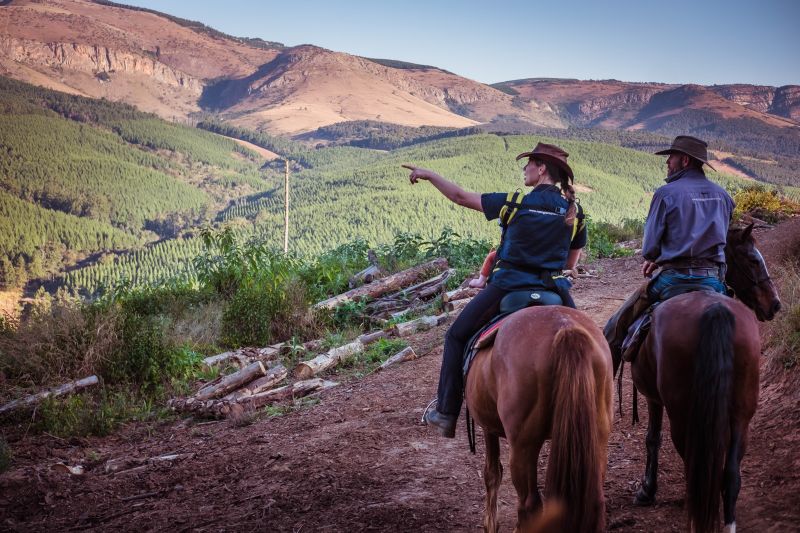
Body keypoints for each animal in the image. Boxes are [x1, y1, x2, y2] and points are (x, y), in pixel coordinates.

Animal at [462, 306, 612, 528]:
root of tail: (565, 327)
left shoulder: (488, 427)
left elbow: (492, 473)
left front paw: (490, 524)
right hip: (598, 434)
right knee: (596, 499)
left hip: (523, 446)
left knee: (529, 503)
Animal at [632, 222, 780, 528]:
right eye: (752, 260)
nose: (775, 304)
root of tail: (715, 310)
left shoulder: (654, 398)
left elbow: (652, 438)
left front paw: (646, 490)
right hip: (742, 413)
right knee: (730, 476)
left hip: (682, 415)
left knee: (695, 469)